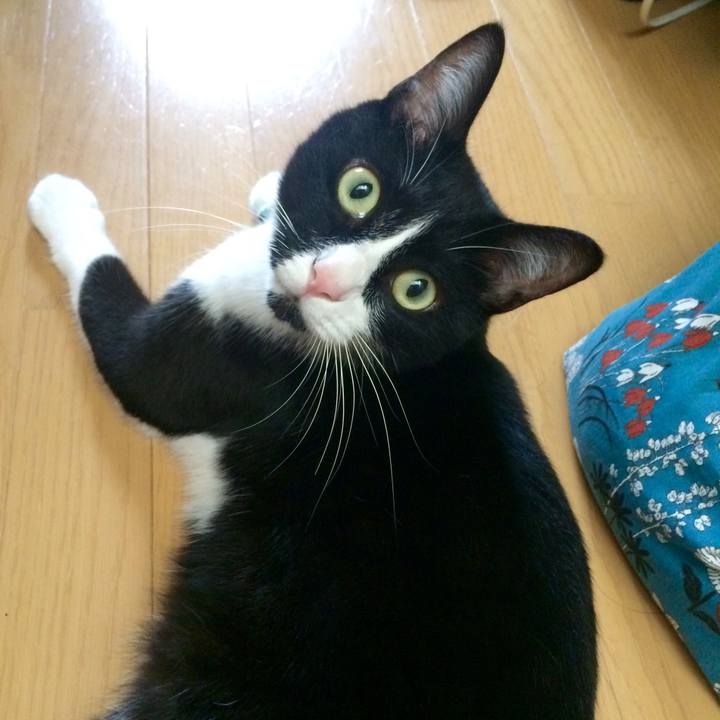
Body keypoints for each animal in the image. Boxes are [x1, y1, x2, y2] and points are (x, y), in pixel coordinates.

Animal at [28, 23, 601, 720]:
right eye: (360, 188)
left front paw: (62, 202)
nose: (325, 281)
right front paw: (268, 191)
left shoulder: (198, 362)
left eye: (416, 290)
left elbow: (112, 312)